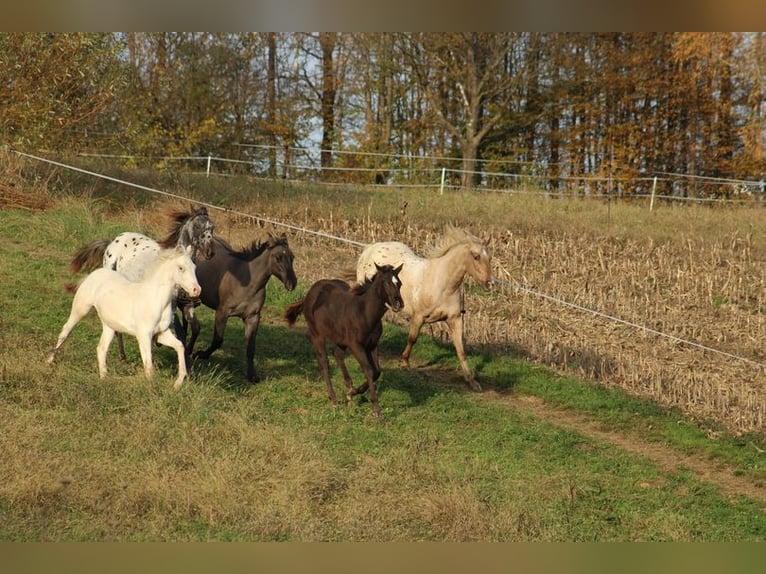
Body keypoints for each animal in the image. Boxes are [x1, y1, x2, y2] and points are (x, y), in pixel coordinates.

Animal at [46, 245, 202, 390]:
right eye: (181, 268)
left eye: (194, 267)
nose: (196, 290)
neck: (155, 300)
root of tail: (94, 274)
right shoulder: (144, 336)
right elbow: (149, 366)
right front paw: (152, 389)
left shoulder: (161, 334)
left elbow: (180, 346)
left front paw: (178, 383)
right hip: (80, 309)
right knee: (65, 331)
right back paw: (50, 360)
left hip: (109, 325)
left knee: (101, 348)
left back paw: (104, 378)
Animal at [70, 206, 216, 360]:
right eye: (198, 226)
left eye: (212, 228)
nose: (210, 252)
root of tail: (114, 240)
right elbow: (180, 333)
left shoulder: (187, 306)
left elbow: (194, 329)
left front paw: (189, 354)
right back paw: (122, 355)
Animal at [182, 232, 298, 384]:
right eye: (278, 257)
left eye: (292, 257)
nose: (292, 283)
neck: (246, 284)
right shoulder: (222, 313)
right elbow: (217, 340)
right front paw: (200, 354)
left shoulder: (252, 317)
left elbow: (250, 347)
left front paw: (252, 376)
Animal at [284, 264, 404, 416]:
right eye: (386, 283)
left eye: (400, 283)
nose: (399, 304)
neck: (364, 312)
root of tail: (308, 294)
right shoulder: (355, 345)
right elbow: (369, 370)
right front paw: (376, 409)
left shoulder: (372, 344)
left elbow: (377, 371)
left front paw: (353, 392)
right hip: (317, 334)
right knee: (324, 361)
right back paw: (334, 398)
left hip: (339, 338)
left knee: (337, 354)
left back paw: (349, 387)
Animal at [356, 225, 496, 392]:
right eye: (476, 256)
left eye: (490, 258)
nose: (491, 283)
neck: (442, 285)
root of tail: (370, 248)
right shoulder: (418, 317)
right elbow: (412, 339)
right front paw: (404, 363)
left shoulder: (455, 319)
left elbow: (460, 350)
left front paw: (472, 382)